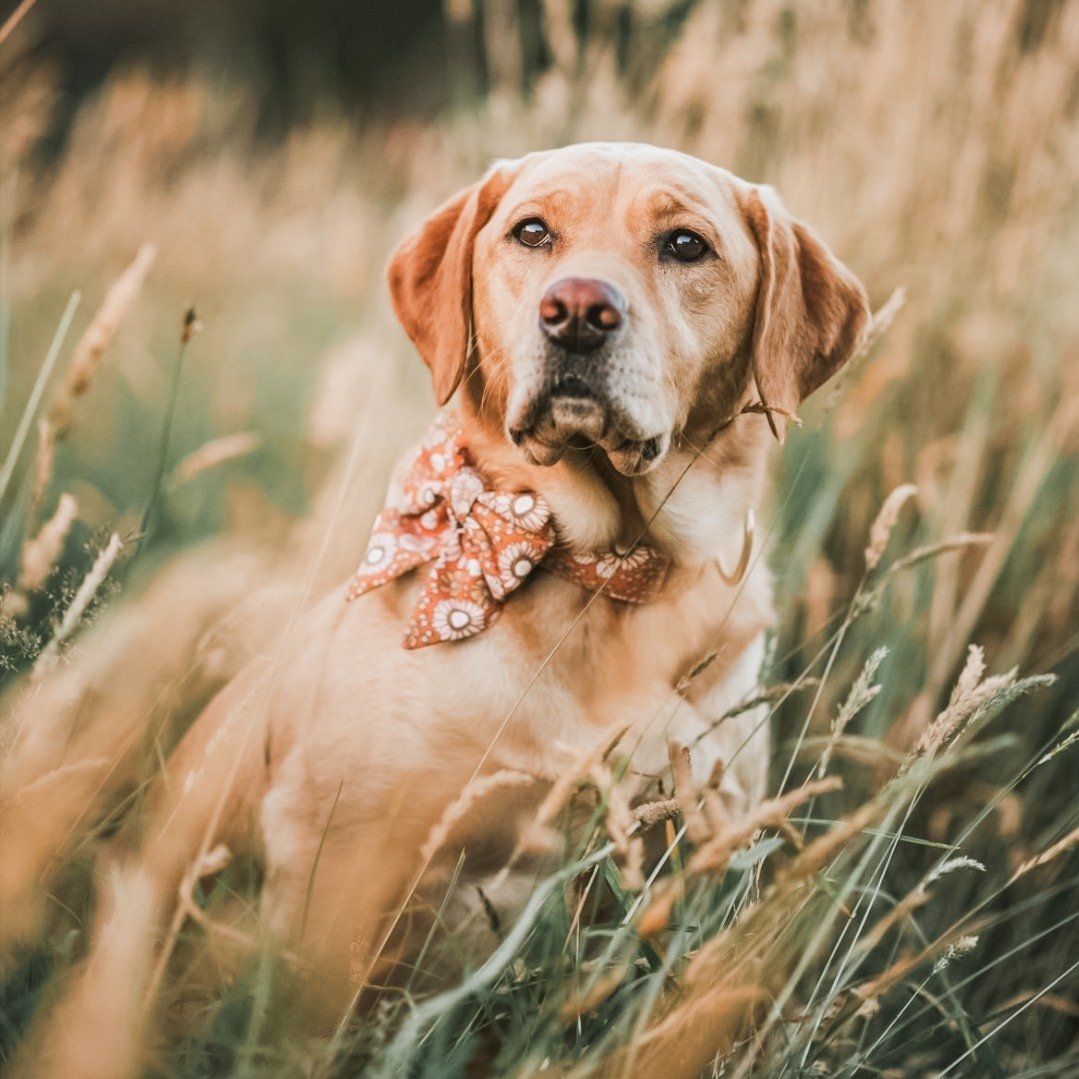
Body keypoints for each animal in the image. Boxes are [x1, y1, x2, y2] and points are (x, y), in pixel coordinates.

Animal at [84, 141, 871, 1018]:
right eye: (531, 231)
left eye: (684, 245)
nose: (576, 309)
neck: (598, 569)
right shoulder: (336, 853)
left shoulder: (696, 846)